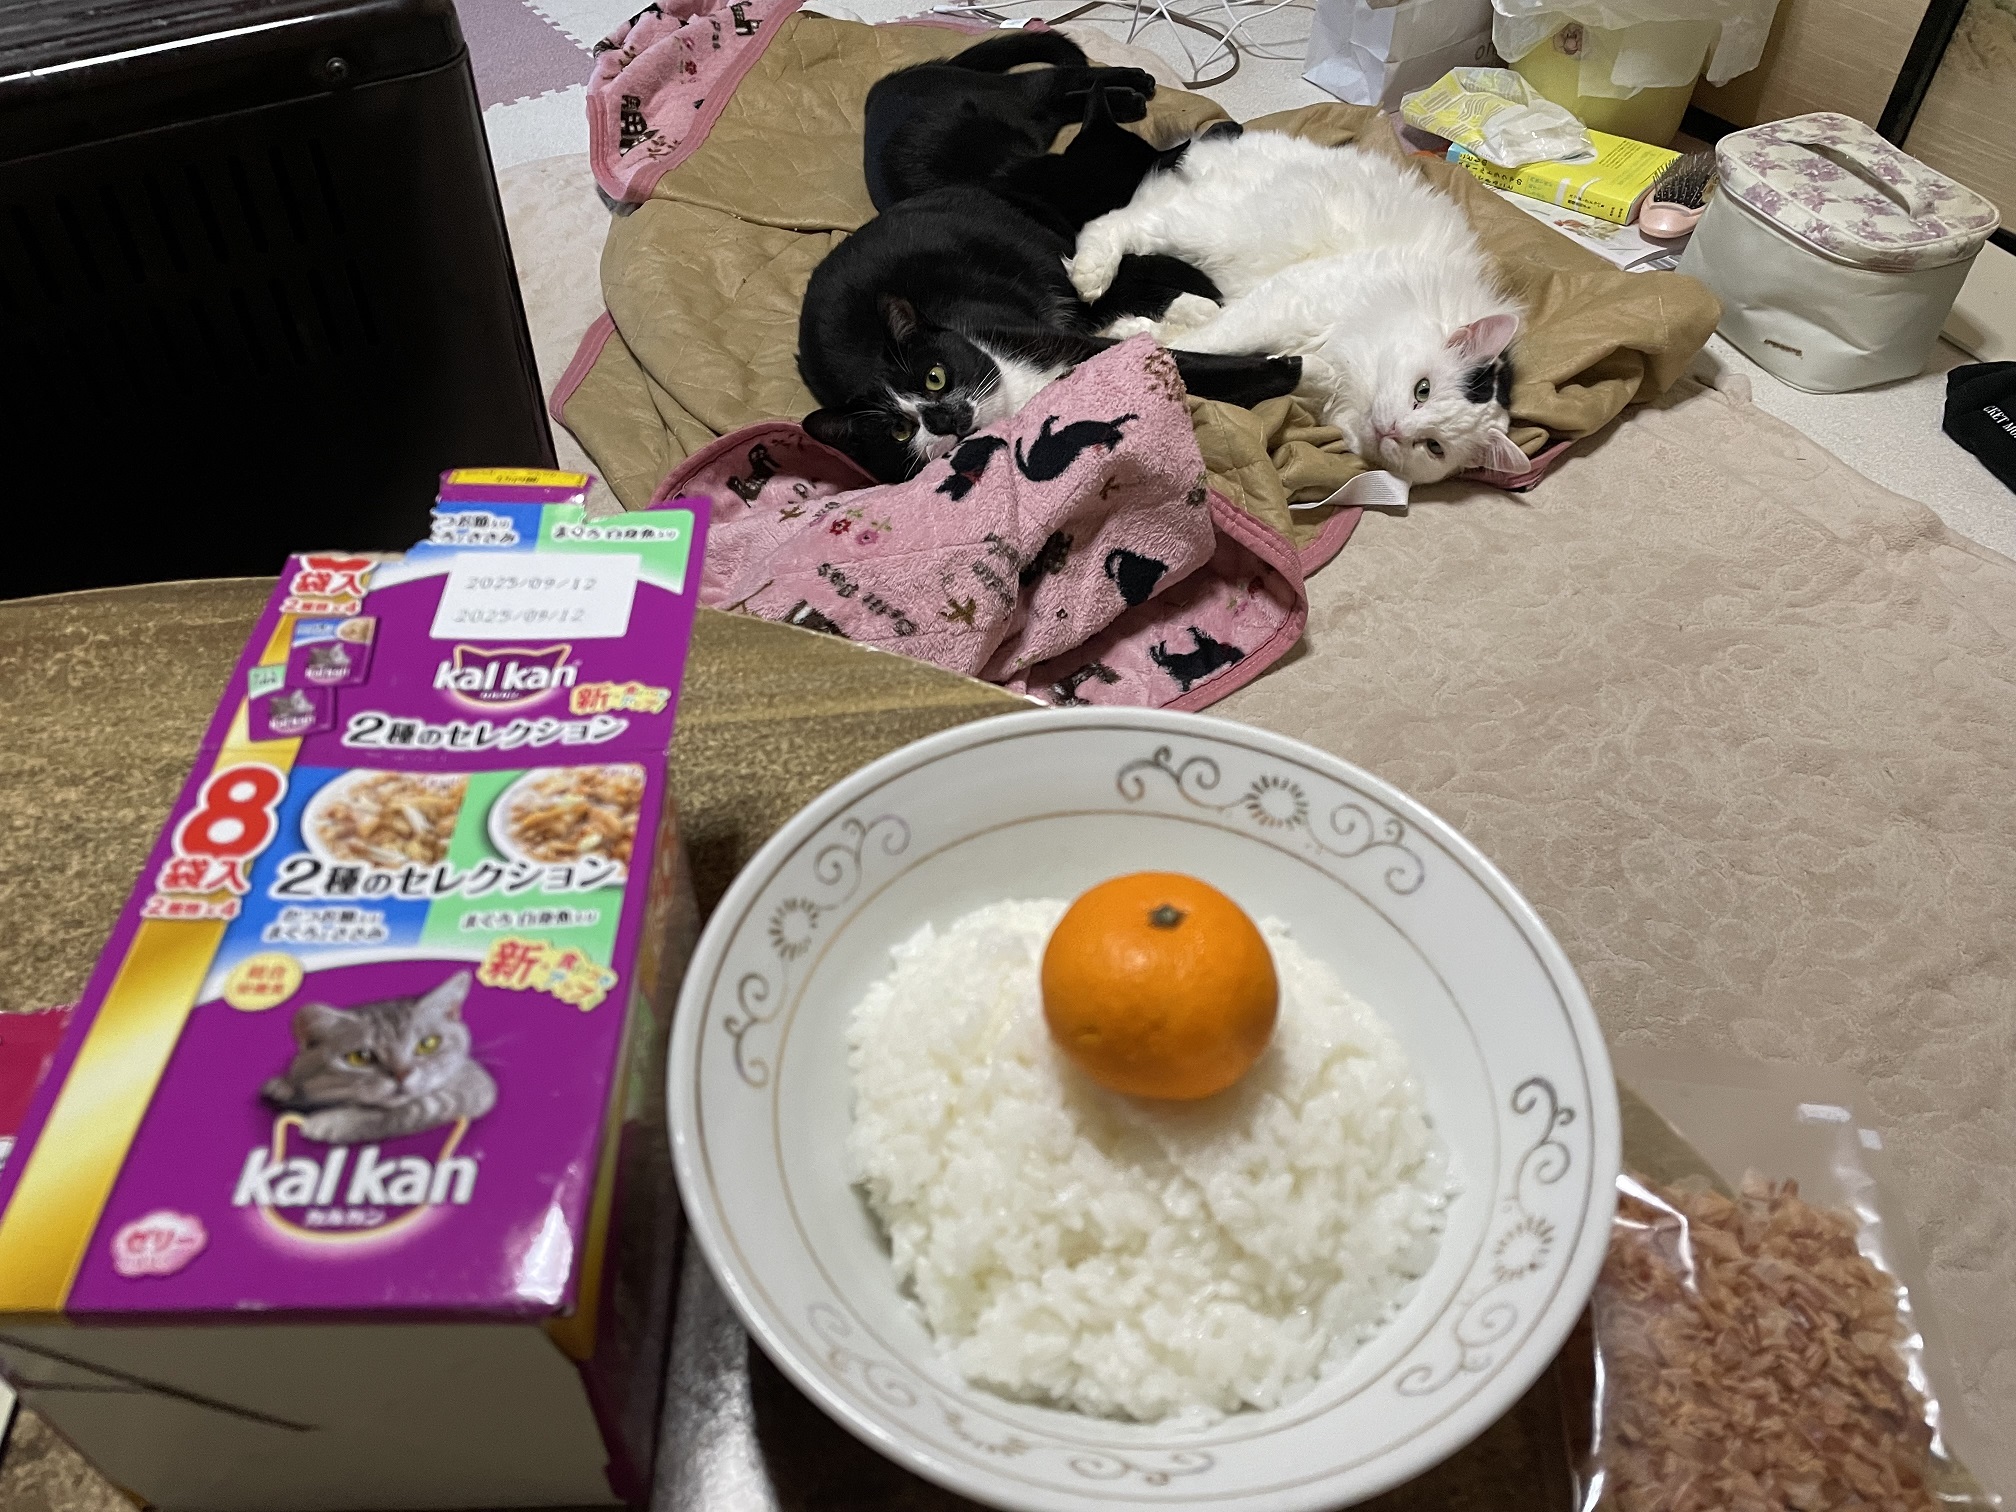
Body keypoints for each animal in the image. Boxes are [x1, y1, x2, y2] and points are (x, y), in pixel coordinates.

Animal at [261, 972, 496, 1145]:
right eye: (360, 1057)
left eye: (428, 1044)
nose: (401, 1074)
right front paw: (284, 1085)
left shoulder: (468, 1088)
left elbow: (404, 1110)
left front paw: (335, 1122)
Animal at [1068, 131, 1531, 485]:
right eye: (1423, 390)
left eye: (1433, 447)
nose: (1394, 430)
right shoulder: (1284, 302)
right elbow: (1214, 344)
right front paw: (1135, 340)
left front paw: (1133, 331)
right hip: (1215, 231)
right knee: (1113, 223)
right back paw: (1091, 276)